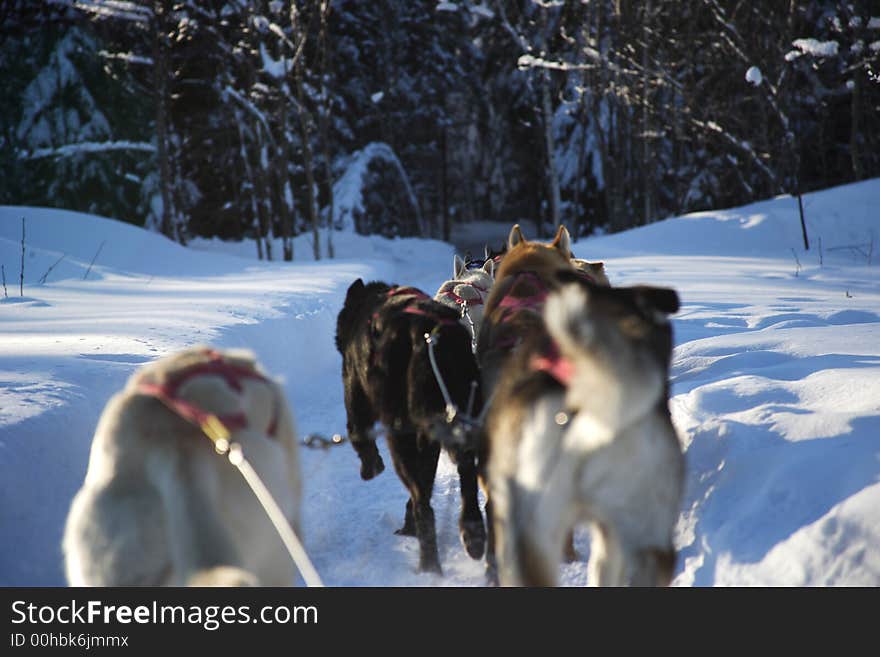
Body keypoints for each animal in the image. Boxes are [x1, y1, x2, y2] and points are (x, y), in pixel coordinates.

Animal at [338, 276, 488, 576]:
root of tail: (430, 335)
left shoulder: (355, 393)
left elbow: (359, 435)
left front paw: (370, 466)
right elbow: (427, 481)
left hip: (400, 434)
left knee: (423, 504)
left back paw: (428, 562)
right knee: (464, 473)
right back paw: (472, 531)